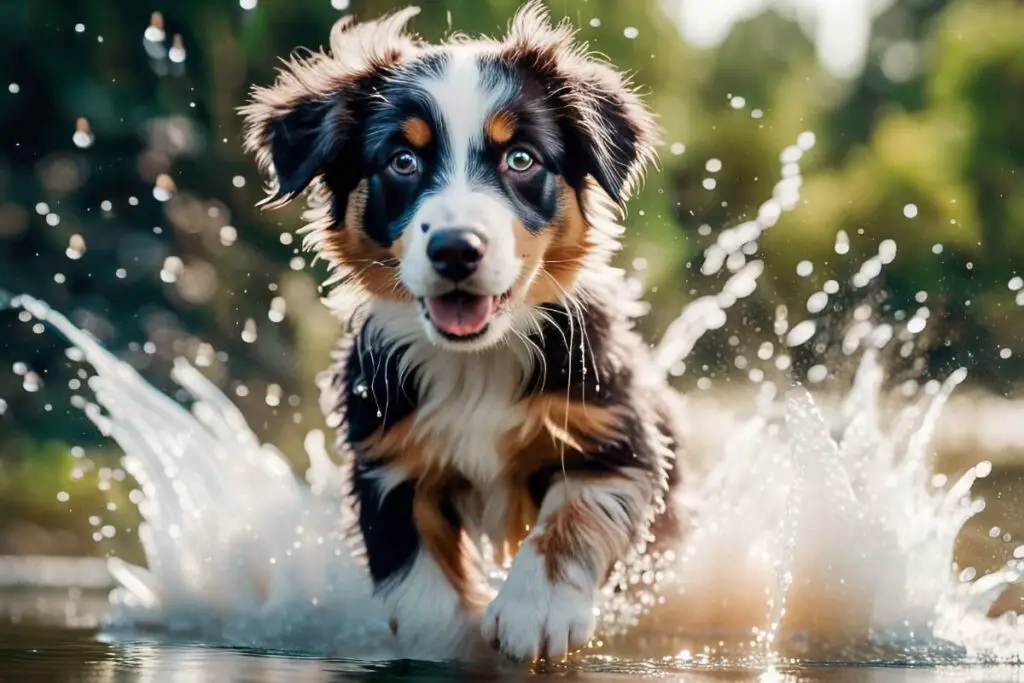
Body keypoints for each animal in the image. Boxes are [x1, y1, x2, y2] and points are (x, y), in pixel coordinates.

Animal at [242, 0, 684, 663]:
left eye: (521, 158)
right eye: (402, 161)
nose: (455, 249)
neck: (477, 361)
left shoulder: (613, 434)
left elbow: (574, 515)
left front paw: (536, 610)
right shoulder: (387, 465)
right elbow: (420, 588)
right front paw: (450, 648)